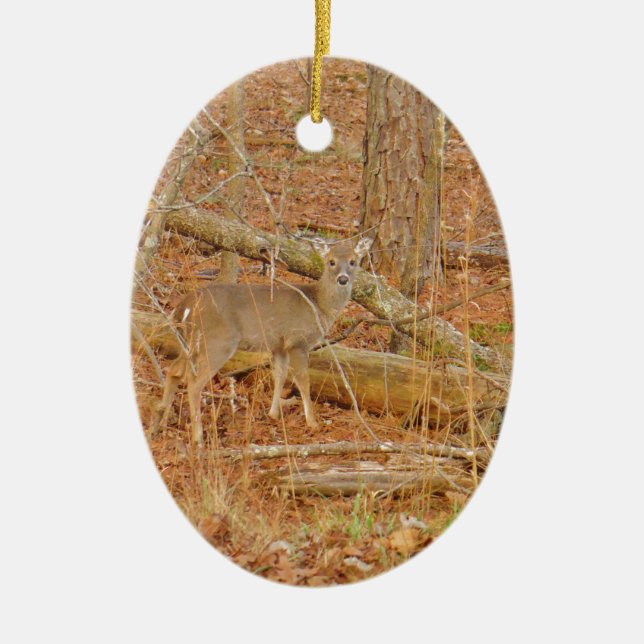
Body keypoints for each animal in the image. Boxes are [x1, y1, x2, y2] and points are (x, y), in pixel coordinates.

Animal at [150, 237, 372, 446]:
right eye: (331, 261)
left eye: (353, 261)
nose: (343, 279)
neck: (319, 305)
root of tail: (184, 305)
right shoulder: (297, 340)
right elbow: (303, 380)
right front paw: (313, 423)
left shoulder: (279, 345)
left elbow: (280, 375)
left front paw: (273, 414)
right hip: (218, 341)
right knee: (194, 383)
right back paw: (198, 437)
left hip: (190, 342)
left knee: (174, 370)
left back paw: (161, 422)